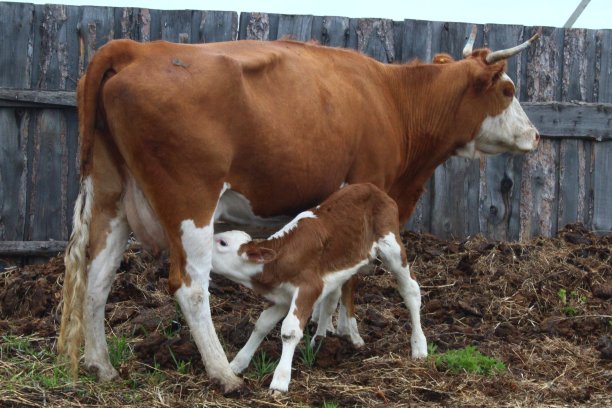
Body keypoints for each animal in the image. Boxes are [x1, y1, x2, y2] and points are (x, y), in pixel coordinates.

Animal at [210, 183, 426, 394]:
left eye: (222, 243)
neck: (280, 260)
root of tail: (372, 188)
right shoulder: (282, 296)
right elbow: (262, 324)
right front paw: (237, 364)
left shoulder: (308, 288)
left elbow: (290, 331)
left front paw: (280, 381)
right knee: (341, 294)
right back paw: (337, 339)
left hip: (392, 248)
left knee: (411, 290)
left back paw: (419, 346)